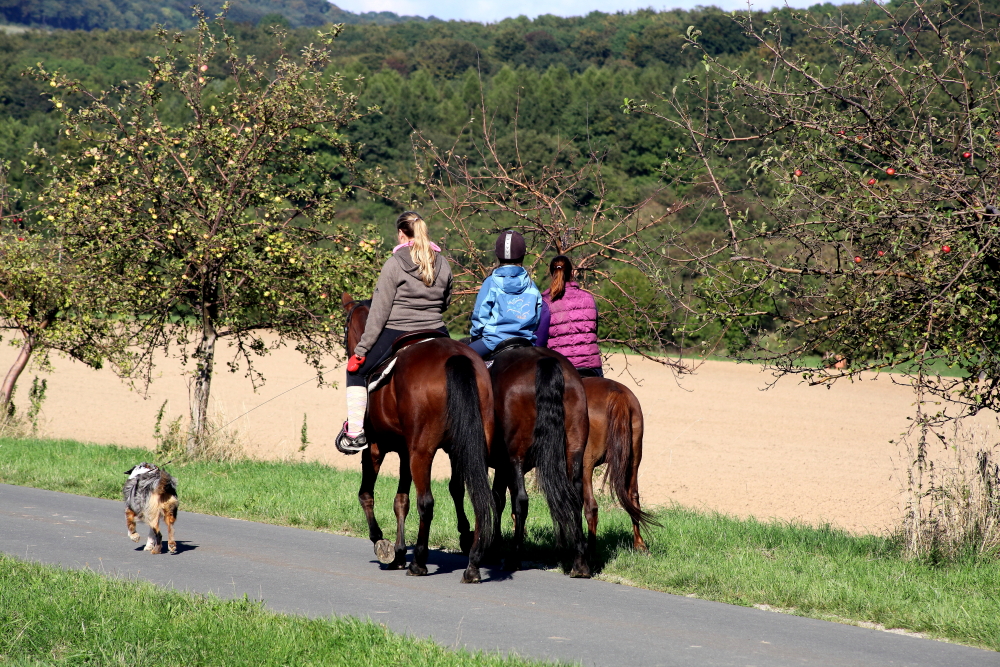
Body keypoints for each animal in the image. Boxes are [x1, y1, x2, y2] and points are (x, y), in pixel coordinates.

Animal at [344, 294, 496, 580]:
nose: (353, 354)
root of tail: (455, 357)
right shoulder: (406, 451)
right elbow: (400, 501)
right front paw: (399, 553)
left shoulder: (377, 448)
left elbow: (366, 494)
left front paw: (382, 543)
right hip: (469, 448)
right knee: (476, 496)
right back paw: (472, 563)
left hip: (422, 452)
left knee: (426, 502)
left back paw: (419, 563)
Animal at [488, 344, 588, 580]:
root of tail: (544, 361)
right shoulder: (502, 468)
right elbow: (499, 499)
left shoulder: (503, 465)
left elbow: (498, 500)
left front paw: (493, 549)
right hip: (574, 452)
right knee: (574, 497)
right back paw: (579, 562)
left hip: (515, 456)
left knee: (522, 501)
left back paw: (514, 557)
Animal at [584, 376, 660, 560]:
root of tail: (616, 393)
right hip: (634, 459)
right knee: (634, 498)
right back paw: (640, 545)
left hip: (585, 464)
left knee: (591, 506)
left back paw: (590, 552)